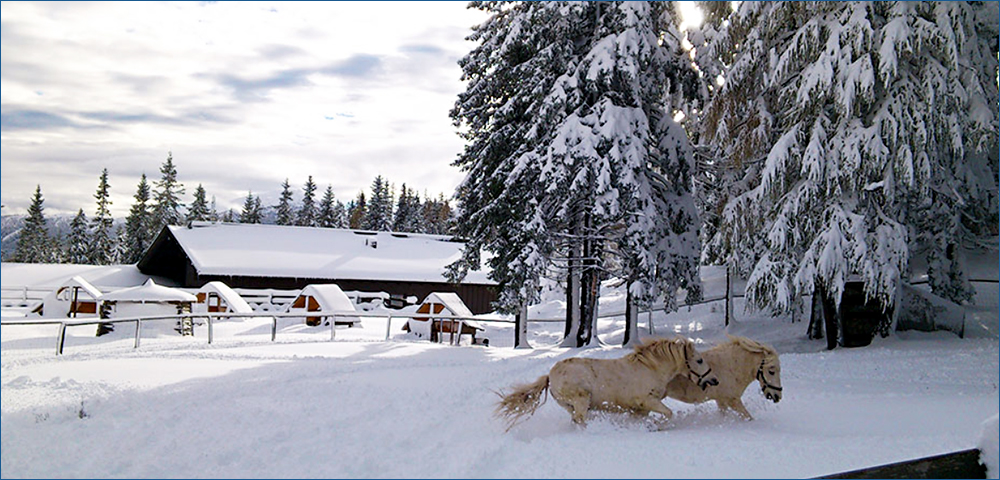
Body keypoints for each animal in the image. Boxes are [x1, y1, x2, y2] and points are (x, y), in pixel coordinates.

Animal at [494, 336, 720, 430]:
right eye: (699, 360)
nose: (714, 380)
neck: (651, 369)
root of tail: (551, 376)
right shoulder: (647, 402)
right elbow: (668, 414)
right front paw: (659, 427)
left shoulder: (641, 409)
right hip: (581, 400)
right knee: (580, 421)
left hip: (571, 406)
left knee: (576, 421)